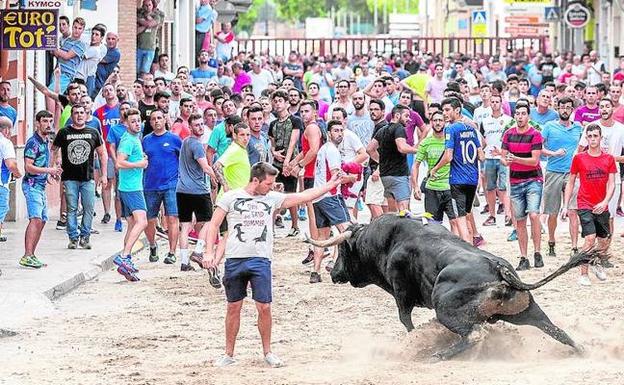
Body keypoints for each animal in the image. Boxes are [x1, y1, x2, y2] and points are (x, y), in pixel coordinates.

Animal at [304, 214, 596, 358]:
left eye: (342, 250)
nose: (333, 272)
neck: (386, 241)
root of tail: (499, 268)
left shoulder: (401, 292)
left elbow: (405, 321)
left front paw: (413, 340)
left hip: (445, 309)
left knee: (473, 334)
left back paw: (441, 354)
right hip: (526, 312)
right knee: (555, 329)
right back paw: (581, 349)